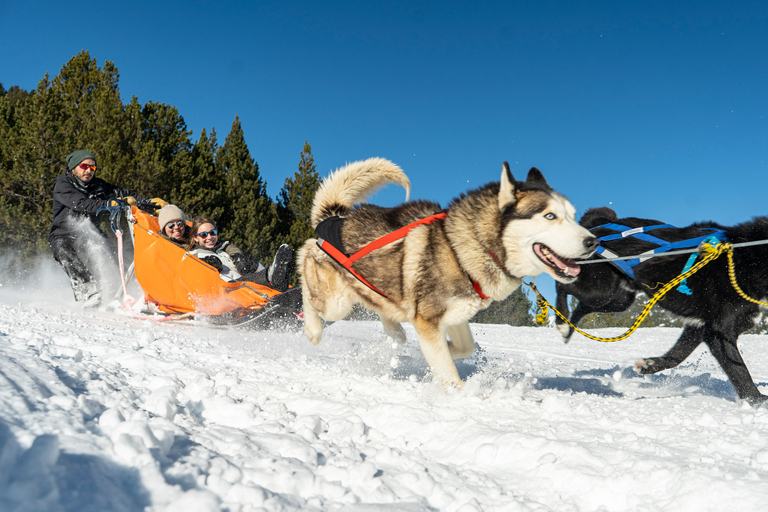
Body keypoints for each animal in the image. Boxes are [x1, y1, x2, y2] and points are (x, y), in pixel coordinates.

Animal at [296, 158, 596, 390]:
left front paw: (442, 353)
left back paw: (396, 332)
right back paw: (312, 330)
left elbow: (464, 349)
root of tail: (333, 218)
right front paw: (463, 395)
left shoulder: (455, 315)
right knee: (306, 265)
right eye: (549, 216)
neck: (459, 249)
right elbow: (449, 374)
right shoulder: (429, 321)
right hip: (335, 303)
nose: (593, 242)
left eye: (573, 216)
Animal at [556, 207, 768, 404]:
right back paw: (561, 321)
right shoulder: (719, 332)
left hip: (617, 299)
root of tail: (597, 225)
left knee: (582, 306)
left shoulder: (699, 326)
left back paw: (568, 329)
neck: (749, 257)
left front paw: (649, 365)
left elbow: (677, 356)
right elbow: (740, 371)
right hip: (601, 289)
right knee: (562, 283)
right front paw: (757, 401)